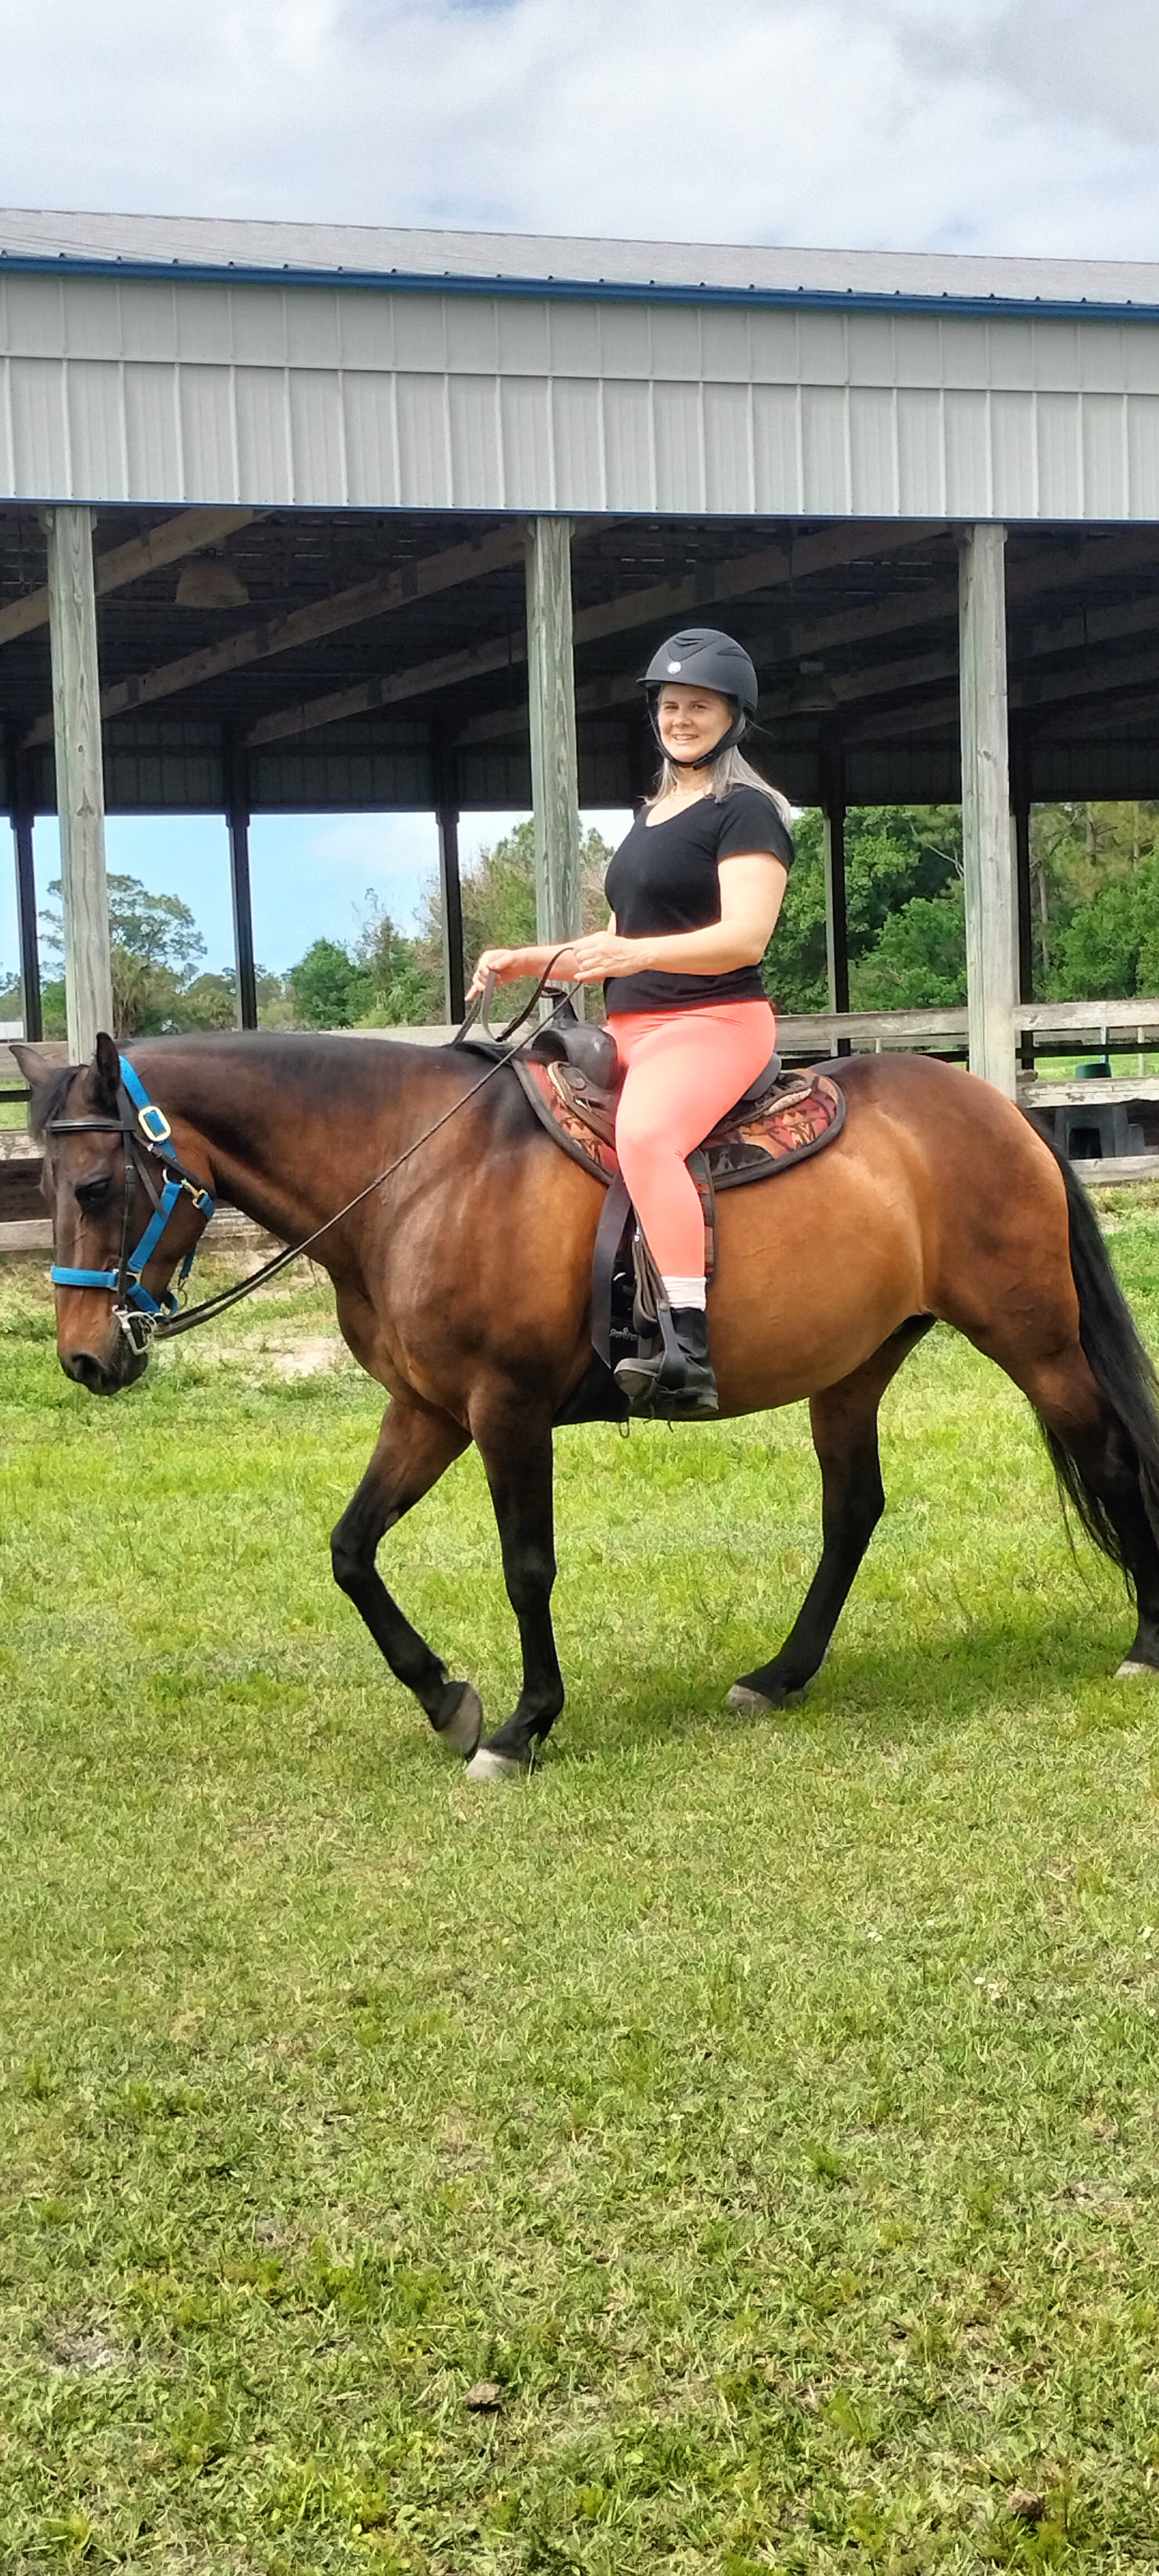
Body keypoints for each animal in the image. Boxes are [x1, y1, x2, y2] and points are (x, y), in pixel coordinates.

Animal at [14, 1026, 1159, 1781]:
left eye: (97, 1186)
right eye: (48, 1185)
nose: (84, 1358)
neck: (421, 1171)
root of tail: (1001, 1110)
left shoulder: (504, 1409)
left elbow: (527, 1568)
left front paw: (523, 1725)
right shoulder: (426, 1412)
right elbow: (350, 1550)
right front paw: (447, 1699)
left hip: (1032, 1338)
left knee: (1107, 1455)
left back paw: (1144, 1644)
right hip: (854, 1365)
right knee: (853, 1512)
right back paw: (779, 1674)